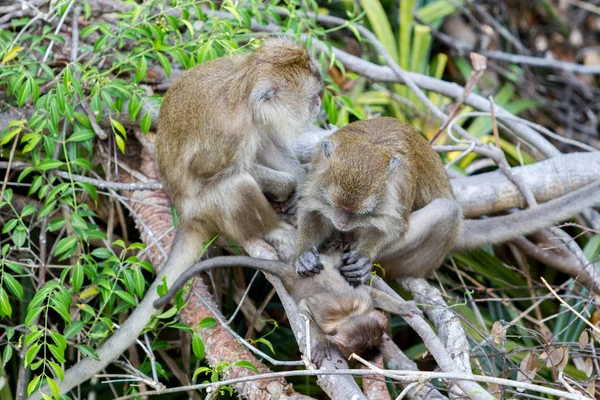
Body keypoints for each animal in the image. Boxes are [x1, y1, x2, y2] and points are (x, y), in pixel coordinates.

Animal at [152, 253, 420, 366]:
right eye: (360, 353)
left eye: (376, 347)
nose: (374, 356)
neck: (349, 315)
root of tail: (292, 270)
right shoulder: (322, 313)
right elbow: (305, 309)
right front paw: (322, 344)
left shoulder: (363, 300)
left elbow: (373, 294)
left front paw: (403, 306)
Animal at [155, 38, 324, 272]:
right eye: (311, 95)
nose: (318, 102)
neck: (245, 95)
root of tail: (183, 216)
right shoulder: (232, 133)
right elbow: (208, 172)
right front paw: (289, 185)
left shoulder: (259, 119)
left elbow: (269, 147)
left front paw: (301, 185)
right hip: (202, 212)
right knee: (236, 186)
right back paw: (271, 232)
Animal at [296, 116, 600, 284]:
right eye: (337, 206)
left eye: (362, 213)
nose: (343, 222)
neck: (372, 143)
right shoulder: (319, 163)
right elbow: (312, 210)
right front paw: (305, 253)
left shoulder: (399, 186)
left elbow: (394, 227)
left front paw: (364, 256)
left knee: (448, 210)